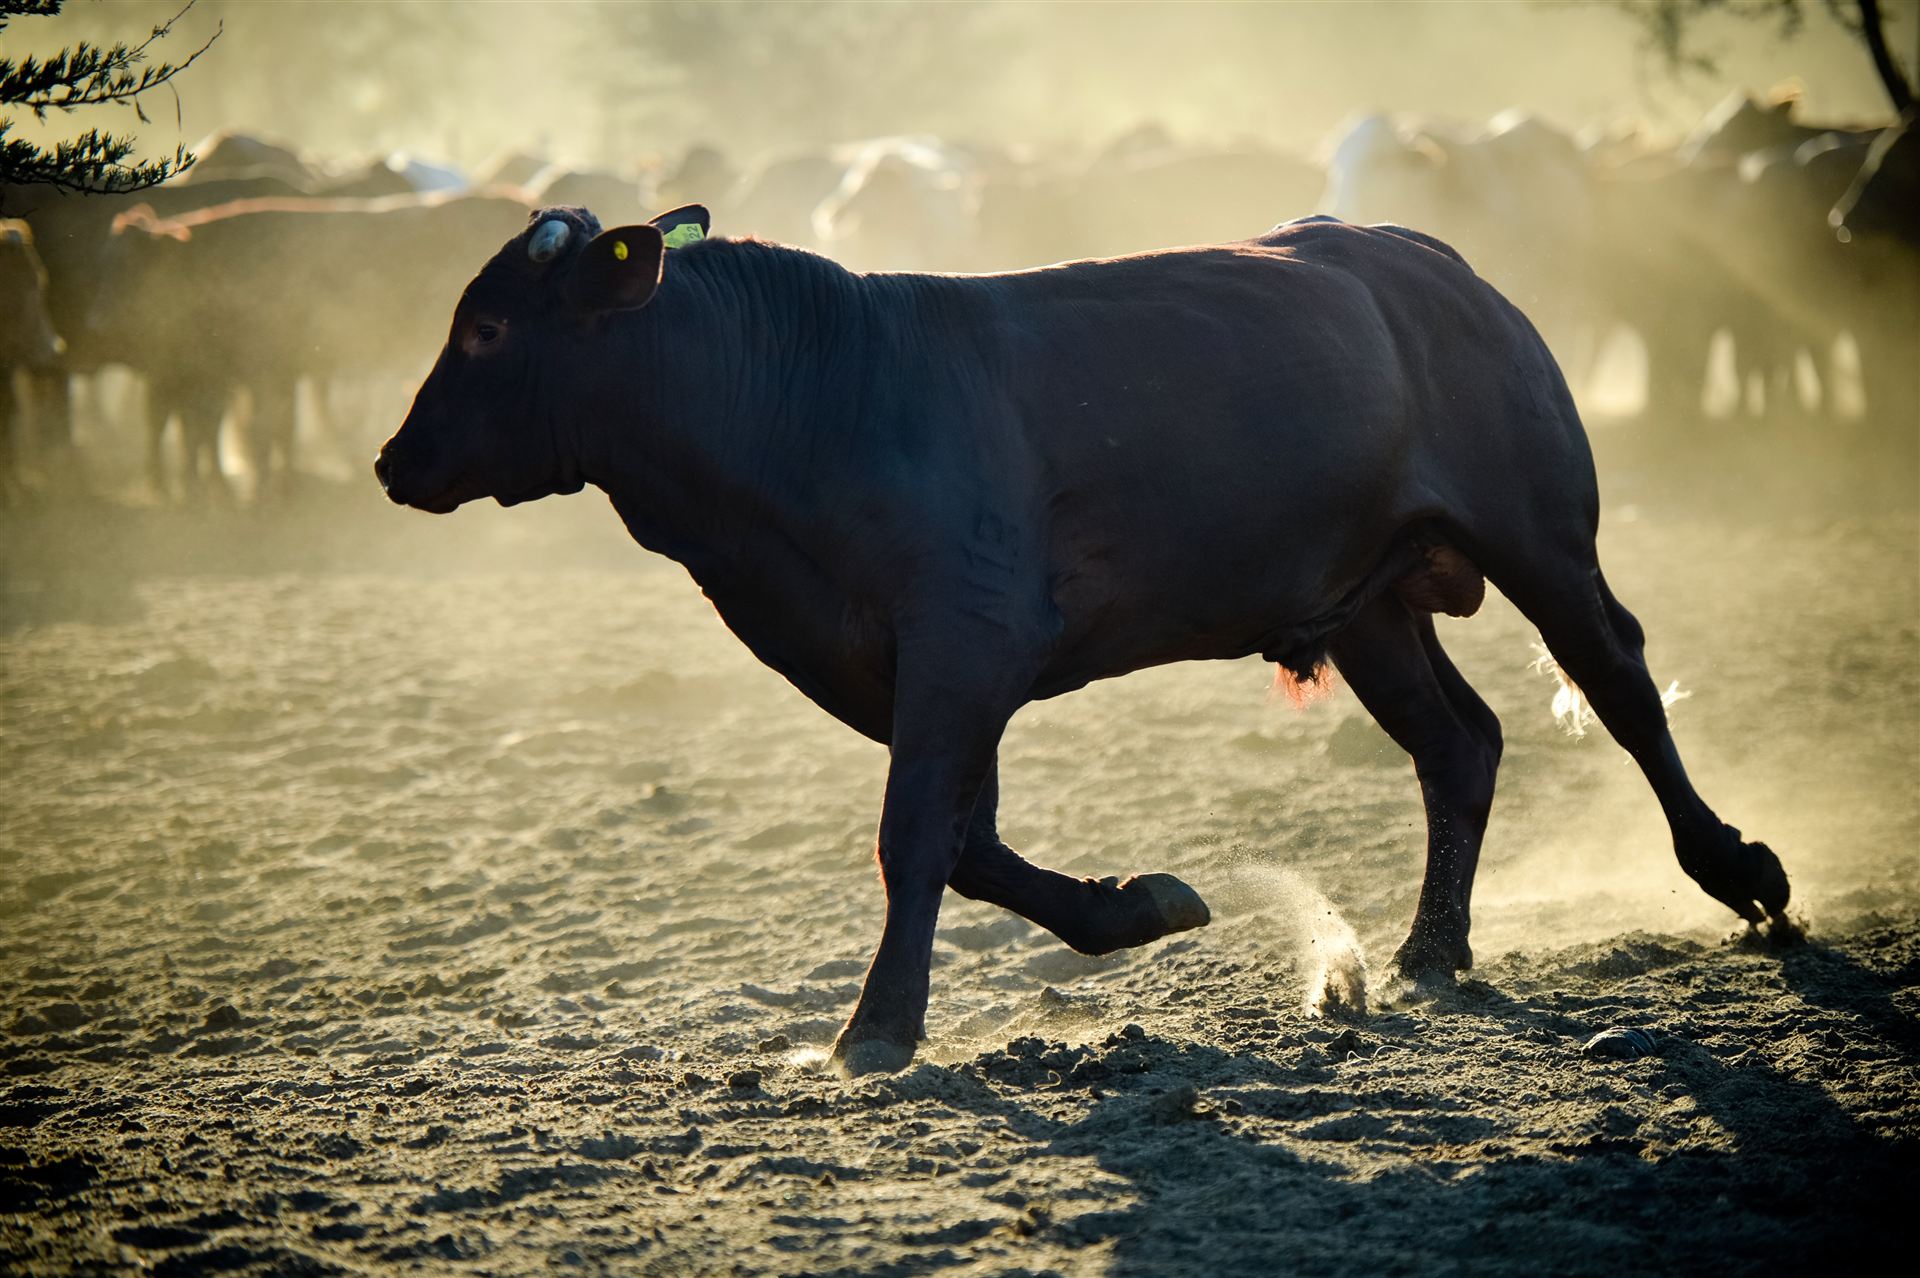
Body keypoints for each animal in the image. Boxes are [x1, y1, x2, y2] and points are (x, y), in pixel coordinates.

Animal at [375, 204, 1792, 1075]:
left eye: (487, 327)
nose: (394, 462)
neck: (810, 400)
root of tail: (1427, 259)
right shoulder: (932, 669)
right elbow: (971, 846)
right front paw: (1142, 904)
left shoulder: (963, 641)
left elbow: (917, 840)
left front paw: (873, 1032)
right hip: (1369, 605)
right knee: (1462, 743)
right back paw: (1431, 948)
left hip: (1540, 527)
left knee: (1618, 680)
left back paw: (1740, 872)